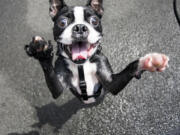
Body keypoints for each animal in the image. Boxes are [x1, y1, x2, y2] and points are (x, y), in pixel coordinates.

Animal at [25, 0, 169, 104]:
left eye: (94, 21)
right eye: (62, 22)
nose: (79, 27)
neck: (81, 65)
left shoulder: (111, 83)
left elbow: (131, 67)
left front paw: (149, 61)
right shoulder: (58, 88)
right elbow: (51, 75)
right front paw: (42, 52)